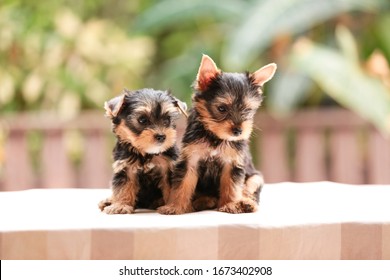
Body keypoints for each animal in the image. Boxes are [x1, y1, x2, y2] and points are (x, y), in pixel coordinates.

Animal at [158, 55, 278, 215]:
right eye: (222, 108)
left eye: (247, 110)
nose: (238, 131)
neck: (215, 136)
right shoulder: (191, 159)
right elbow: (183, 183)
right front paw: (175, 206)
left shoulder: (233, 162)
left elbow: (231, 185)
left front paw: (230, 204)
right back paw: (204, 201)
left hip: (255, 177)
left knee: (249, 188)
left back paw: (246, 203)